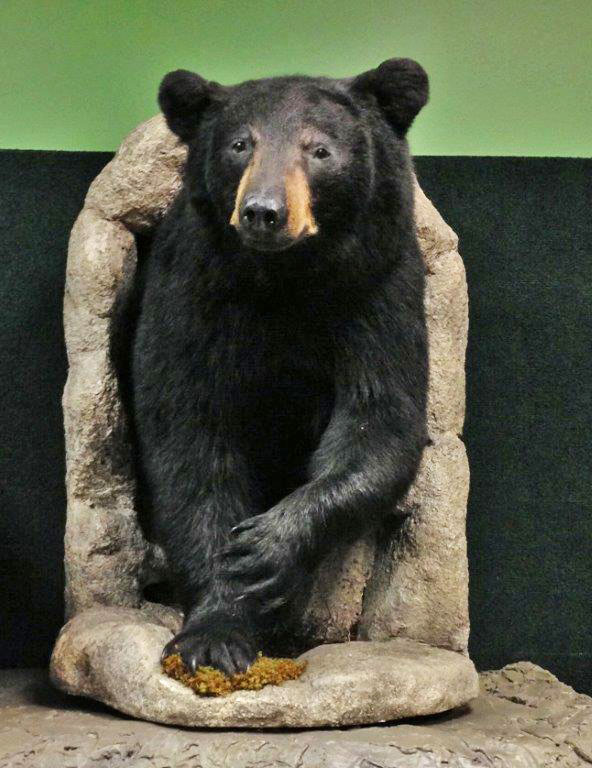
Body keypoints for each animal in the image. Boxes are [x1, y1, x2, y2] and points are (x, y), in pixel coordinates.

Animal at [122, 59, 430, 677]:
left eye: (321, 150)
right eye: (241, 145)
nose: (264, 212)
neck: (286, 281)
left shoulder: (381, 289)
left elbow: (379, 421)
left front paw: (265, 549)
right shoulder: (191, 293)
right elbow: (188, 435)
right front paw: (214, 635)